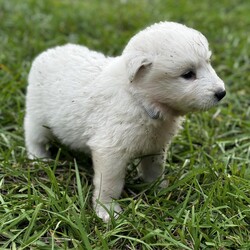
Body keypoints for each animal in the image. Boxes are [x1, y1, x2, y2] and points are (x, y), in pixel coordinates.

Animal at [24, 21, 226, 221]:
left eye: (208, 62)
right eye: (188, 74)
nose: (221, 93)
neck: (139, 98)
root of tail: (45, 54)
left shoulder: (155, 145)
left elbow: (154, 168)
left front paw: (158, 189)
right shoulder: (110, 150)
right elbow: (109, 184)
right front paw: (107, 210)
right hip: (37, 116)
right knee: (33, 136)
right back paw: (39, 158)